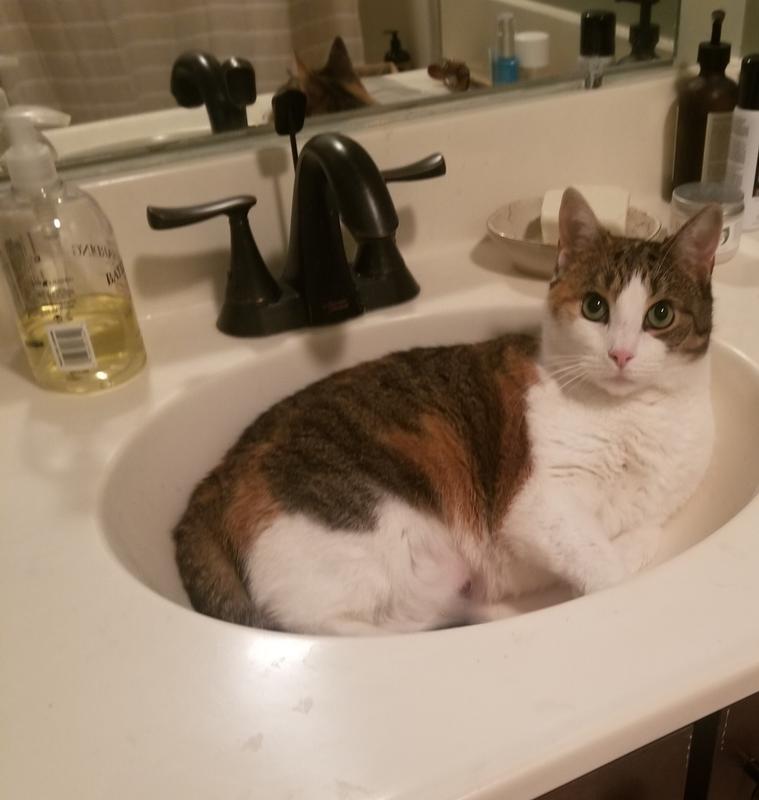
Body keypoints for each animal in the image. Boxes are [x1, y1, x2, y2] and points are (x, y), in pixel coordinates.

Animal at [173, 188, 723, 635]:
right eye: (594, 307)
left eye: (660, 315)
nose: (621, 355)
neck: (631, 416)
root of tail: (216, 478)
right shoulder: (537, 507)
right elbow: (607, 569)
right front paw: (616, 567)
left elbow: (637, 535)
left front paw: (634, 542)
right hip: (376, 529)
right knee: (318, 621)